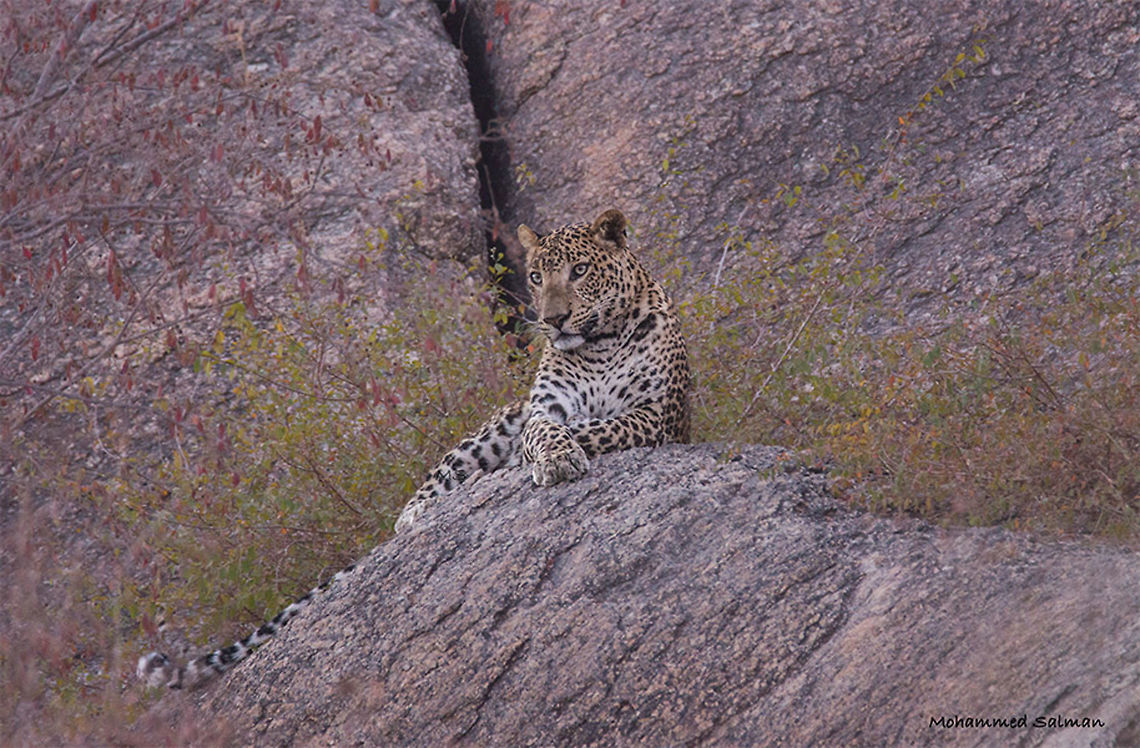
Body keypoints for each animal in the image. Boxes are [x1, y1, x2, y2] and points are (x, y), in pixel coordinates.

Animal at [137, 208, 691, 689]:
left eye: (580, 271)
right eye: (536, 277)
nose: (553, 319)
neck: (597, 348)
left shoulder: (655, 415)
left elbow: (598, 427)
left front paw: (555, 455)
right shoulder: (539, 411)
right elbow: (547, 432)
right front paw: (551, 457)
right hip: (490, 427)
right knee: (425, 492)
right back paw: (430, 509)